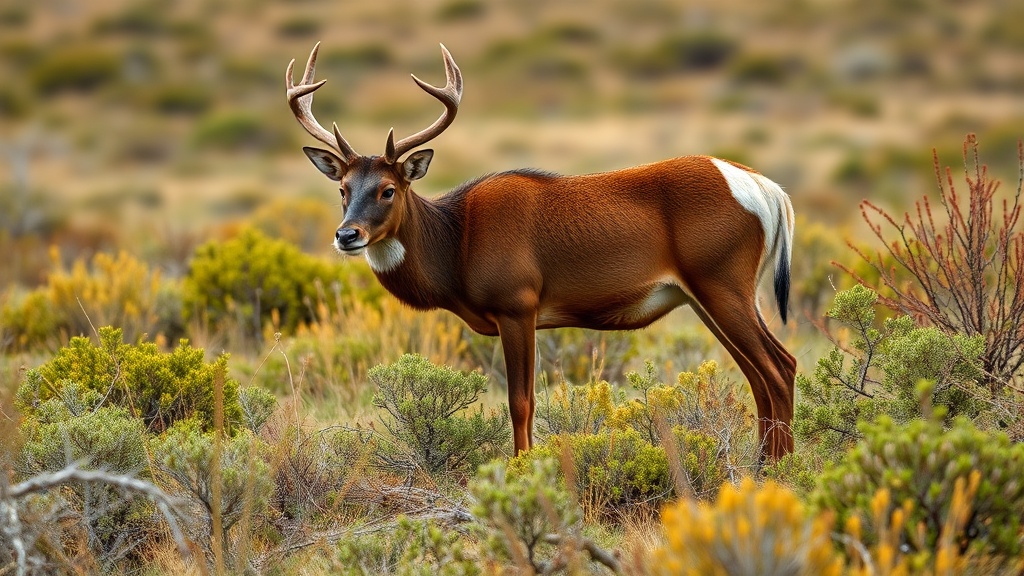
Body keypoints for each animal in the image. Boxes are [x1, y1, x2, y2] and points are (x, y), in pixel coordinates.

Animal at [286, 43, 797, 460]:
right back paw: (764, 462)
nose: (346, 235)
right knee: (760, 374)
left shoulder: (517, 303)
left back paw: (781, 468)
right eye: (343, 188)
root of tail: (770, 191)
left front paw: (524, 467)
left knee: (778, 368)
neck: (458, 244)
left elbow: (521, 401)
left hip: (721, 279)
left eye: (388, 189)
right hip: (705, 293)